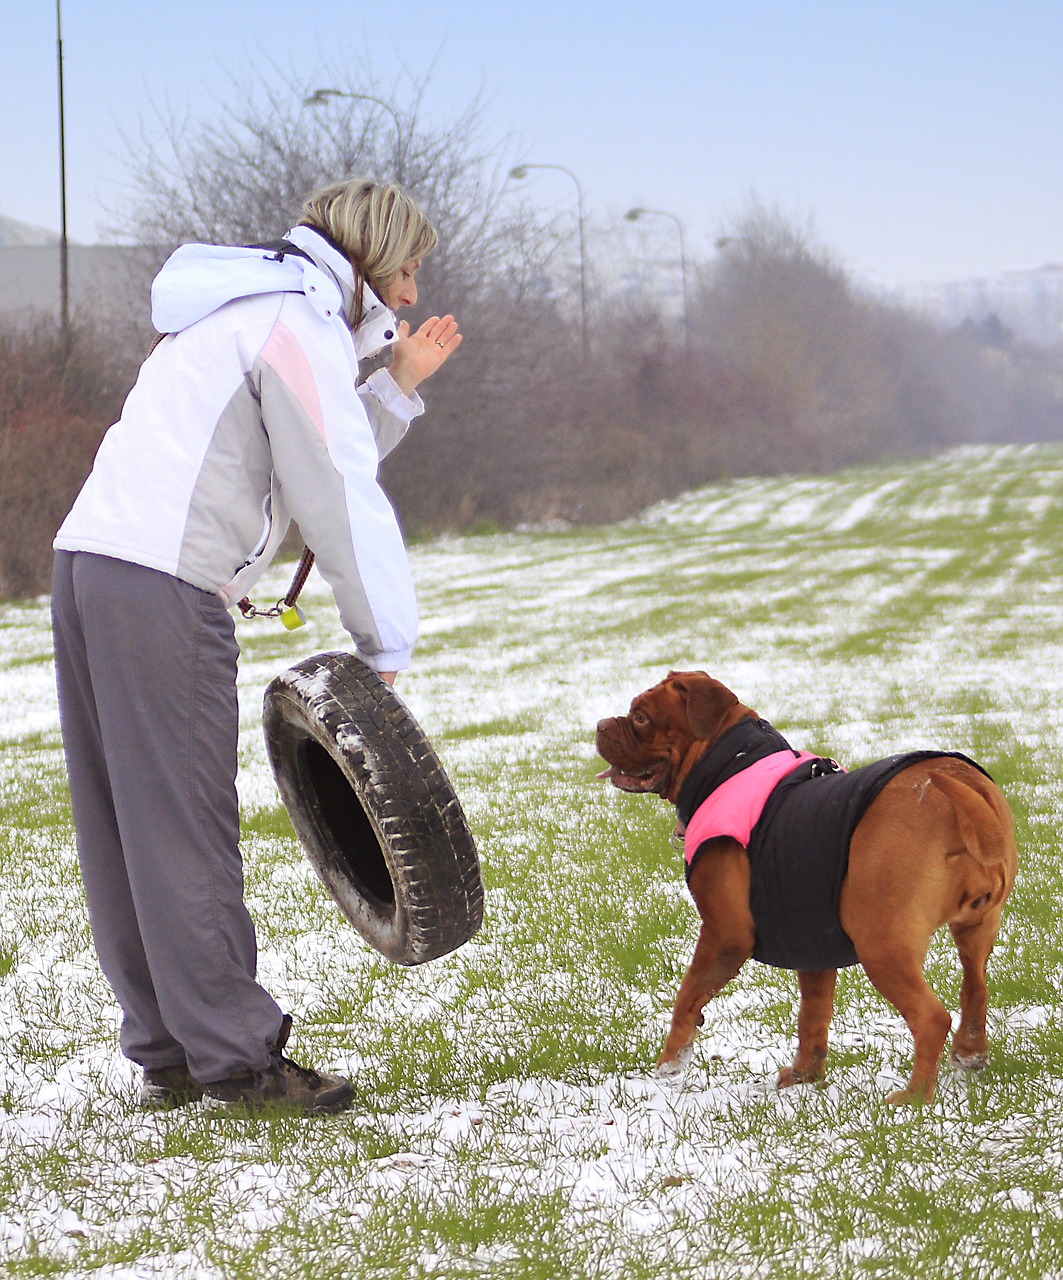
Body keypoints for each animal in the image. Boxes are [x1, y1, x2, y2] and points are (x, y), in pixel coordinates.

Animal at [594, 675, 1019, 1105]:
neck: (729, 763)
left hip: (881, 944)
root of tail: (964, 790)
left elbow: (687, 995)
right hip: (977, 930)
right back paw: (970, 1053)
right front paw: (804, 1076)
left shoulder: (724, 935)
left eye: (641, 717)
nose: (599, 724)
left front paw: (668, 1066)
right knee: (975, 989)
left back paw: (913, 1097)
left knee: (932, 1018)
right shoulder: (813, 940)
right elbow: (812, 1017)